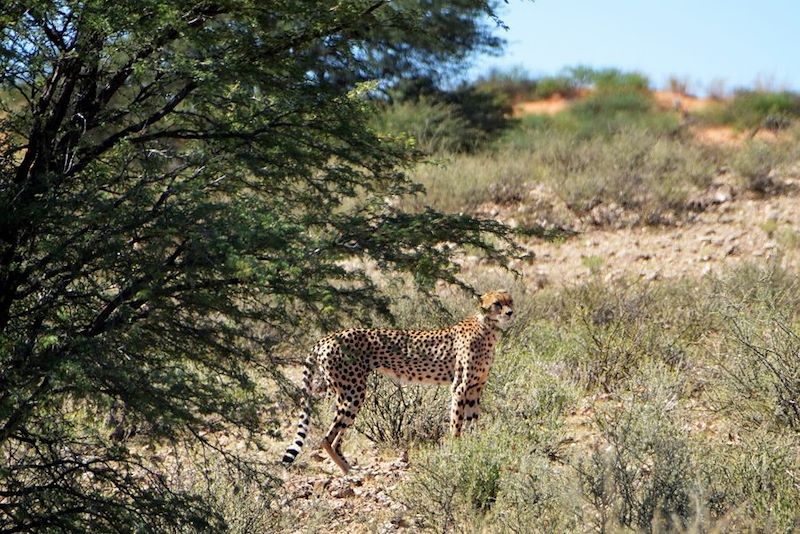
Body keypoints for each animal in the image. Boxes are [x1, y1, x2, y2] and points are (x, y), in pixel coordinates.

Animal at [282, 292, 512, 476]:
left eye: (510, 301)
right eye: (496, 304)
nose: (510, 312)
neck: (487, 327)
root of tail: (327, 337)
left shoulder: (475, 388)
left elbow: (473, 424)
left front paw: (475, 448)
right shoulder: (459, 388)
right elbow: (456, 425)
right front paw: (458, 453)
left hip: (347, 392)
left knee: (337, 437)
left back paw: (352, 467)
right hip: (353, 392)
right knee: (326, 438)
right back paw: (348, 471)